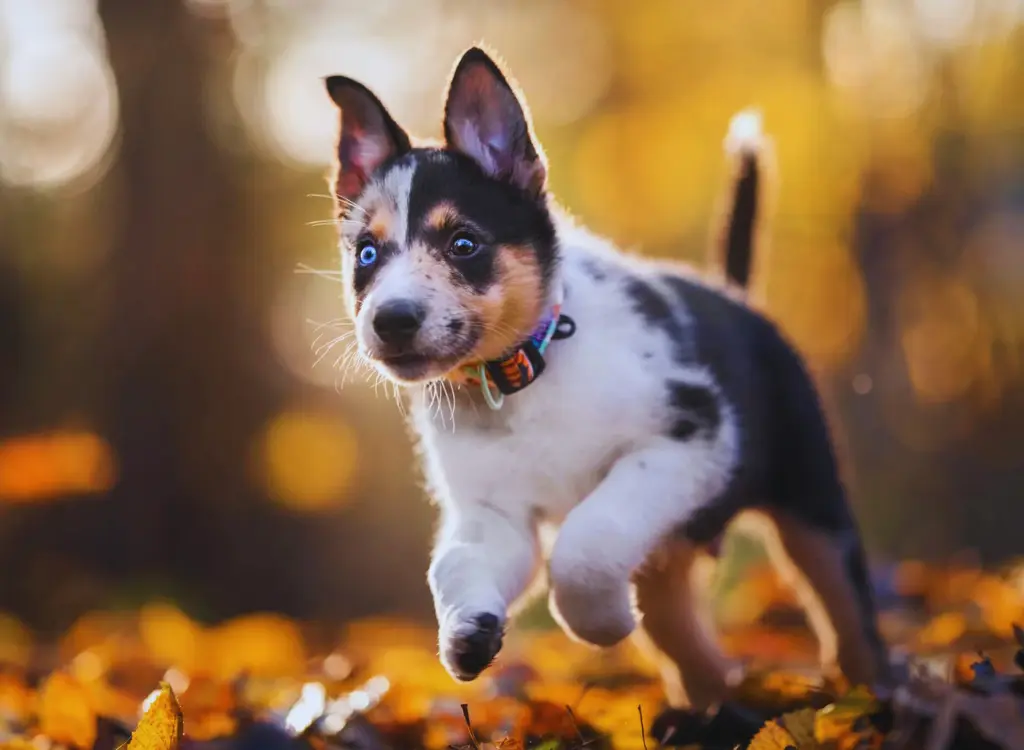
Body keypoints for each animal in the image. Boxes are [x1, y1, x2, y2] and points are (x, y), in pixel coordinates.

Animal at [321, 48, 888, 709]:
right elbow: (456, 564)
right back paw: (707, 710)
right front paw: (467, 632)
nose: (391, 320)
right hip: (674, 550)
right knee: (687, 638)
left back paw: (878, 698)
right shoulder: (494, 512)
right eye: (366, 254)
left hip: (812, 506)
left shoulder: (687, 438)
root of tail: (738, 298)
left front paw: (605, 623)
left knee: (849, 620)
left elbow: (587, 543)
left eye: (463, 243)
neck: (525, 379)